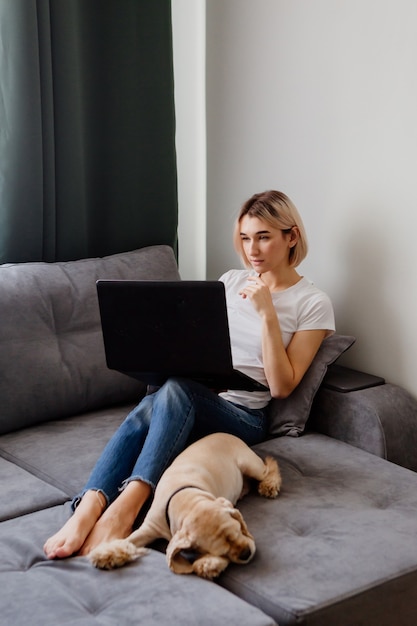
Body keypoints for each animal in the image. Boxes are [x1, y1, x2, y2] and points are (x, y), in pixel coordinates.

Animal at [89, 432, 282, 576]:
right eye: (221, 550)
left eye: (239, 530)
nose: (247, 553)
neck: (185, 499)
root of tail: (228, 433)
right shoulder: (149, 528)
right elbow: (128, 541)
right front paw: (105, 554)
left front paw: (209, 564)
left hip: (249, 464)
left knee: (270, 465)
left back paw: (269, 485)